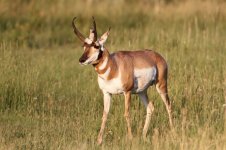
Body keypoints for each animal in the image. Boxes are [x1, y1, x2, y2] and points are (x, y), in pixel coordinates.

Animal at [72, 17, 173, 145]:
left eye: (96, 46)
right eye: (84, 46)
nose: (81, 60)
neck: (114, 66)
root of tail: (157, 56)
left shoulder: (127, 92)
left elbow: (126, 114)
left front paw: (130, 137)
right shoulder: (107, 93)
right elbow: (105, 115)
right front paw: (99, 141)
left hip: (161, 85)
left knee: (168, 105)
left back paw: (173, 131)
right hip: (141, 92)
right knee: (150, 107)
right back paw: (143, 135)